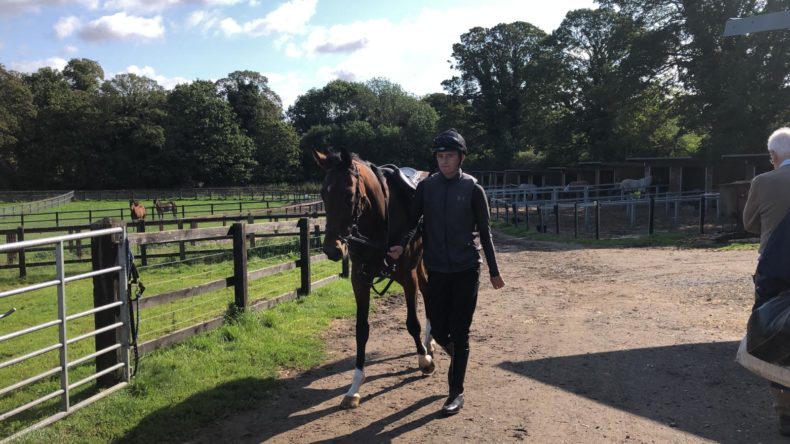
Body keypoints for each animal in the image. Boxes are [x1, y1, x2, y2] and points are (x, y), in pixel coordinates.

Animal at [316, 148, 440, 410]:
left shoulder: (408, 277)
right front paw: (354, 387)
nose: (332, 249)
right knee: (427, 290)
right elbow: (361, 330)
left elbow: (412, 322)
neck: (380, 221)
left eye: (349, 193)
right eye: (323, 193)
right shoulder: (359, 281)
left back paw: (428, 343)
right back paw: (430, 340)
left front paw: (424, 360)